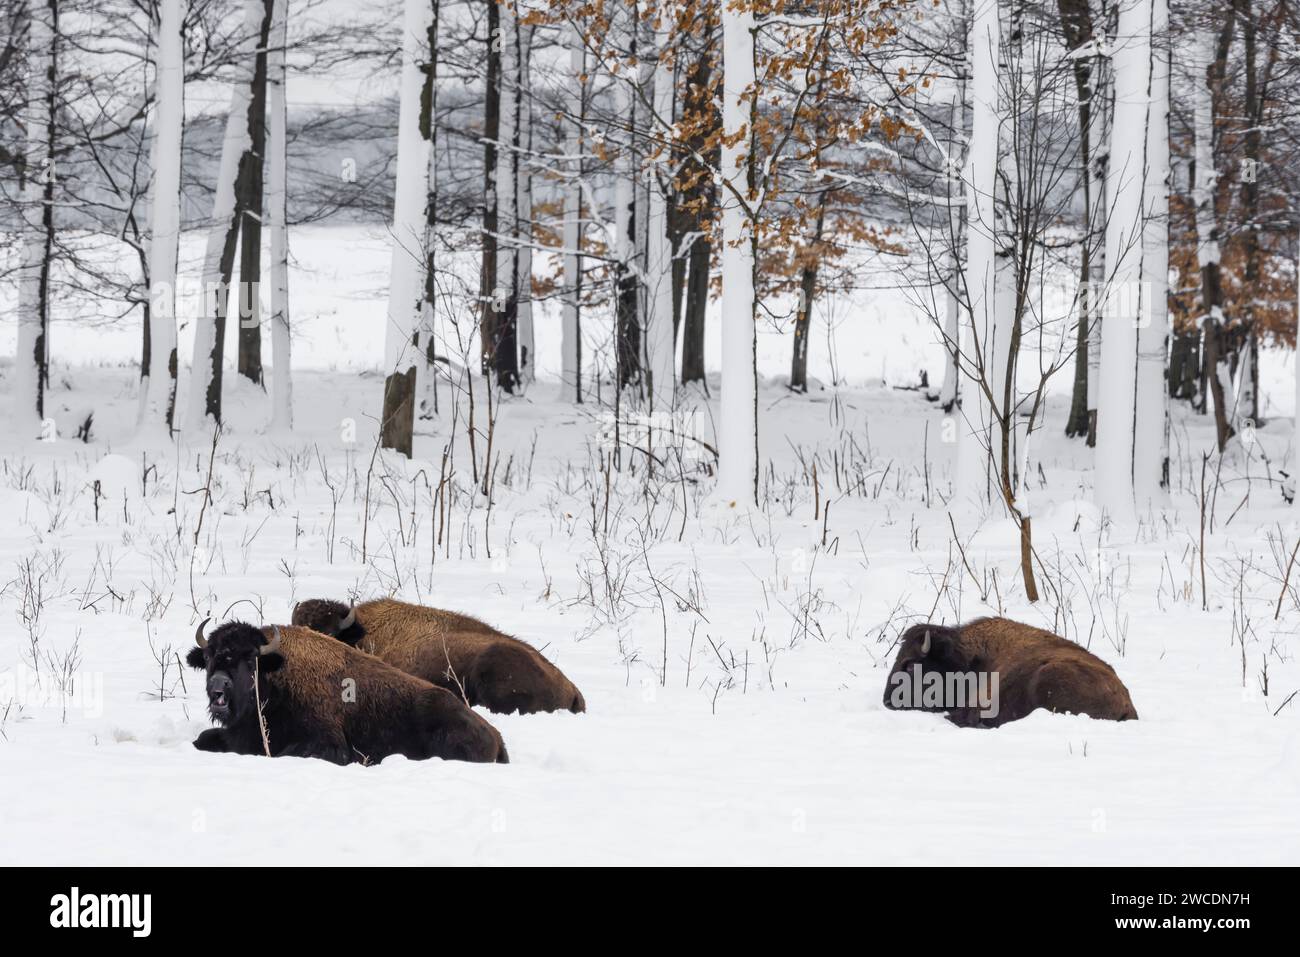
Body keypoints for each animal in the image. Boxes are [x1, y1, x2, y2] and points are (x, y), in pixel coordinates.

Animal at [183, 616, 506, 764]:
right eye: (209, 657)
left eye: (251, 659)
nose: (218, 685)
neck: (275, 677)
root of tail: (495, 735)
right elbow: (203, 739)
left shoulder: (326, 744)